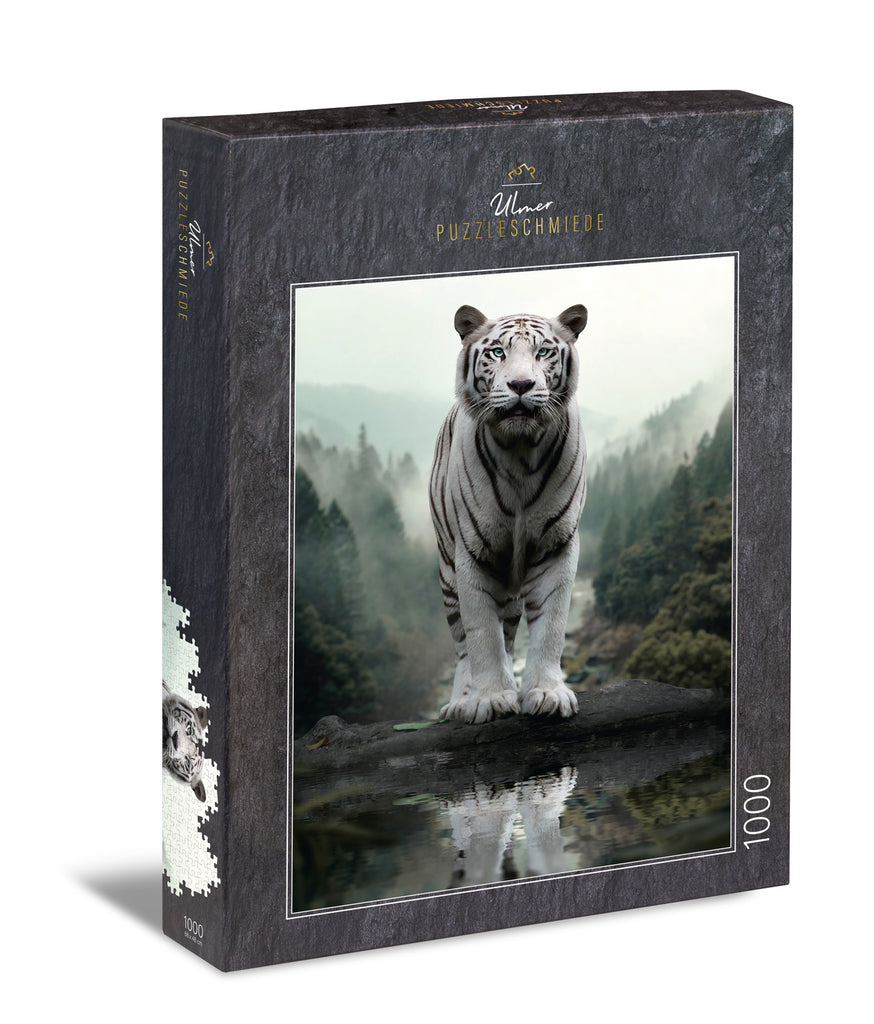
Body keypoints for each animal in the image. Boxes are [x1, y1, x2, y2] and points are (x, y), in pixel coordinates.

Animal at [429, 303, 588, 724]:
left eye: (543, 352)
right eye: (498, 352)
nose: (520, 385)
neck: (521, 450)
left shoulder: (556, 545)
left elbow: (551, 625)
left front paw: (546, 693)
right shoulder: (473, 552)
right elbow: (482, 633)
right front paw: (489, 699)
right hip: (448, 574)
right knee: (463, 643)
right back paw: (461, 701)